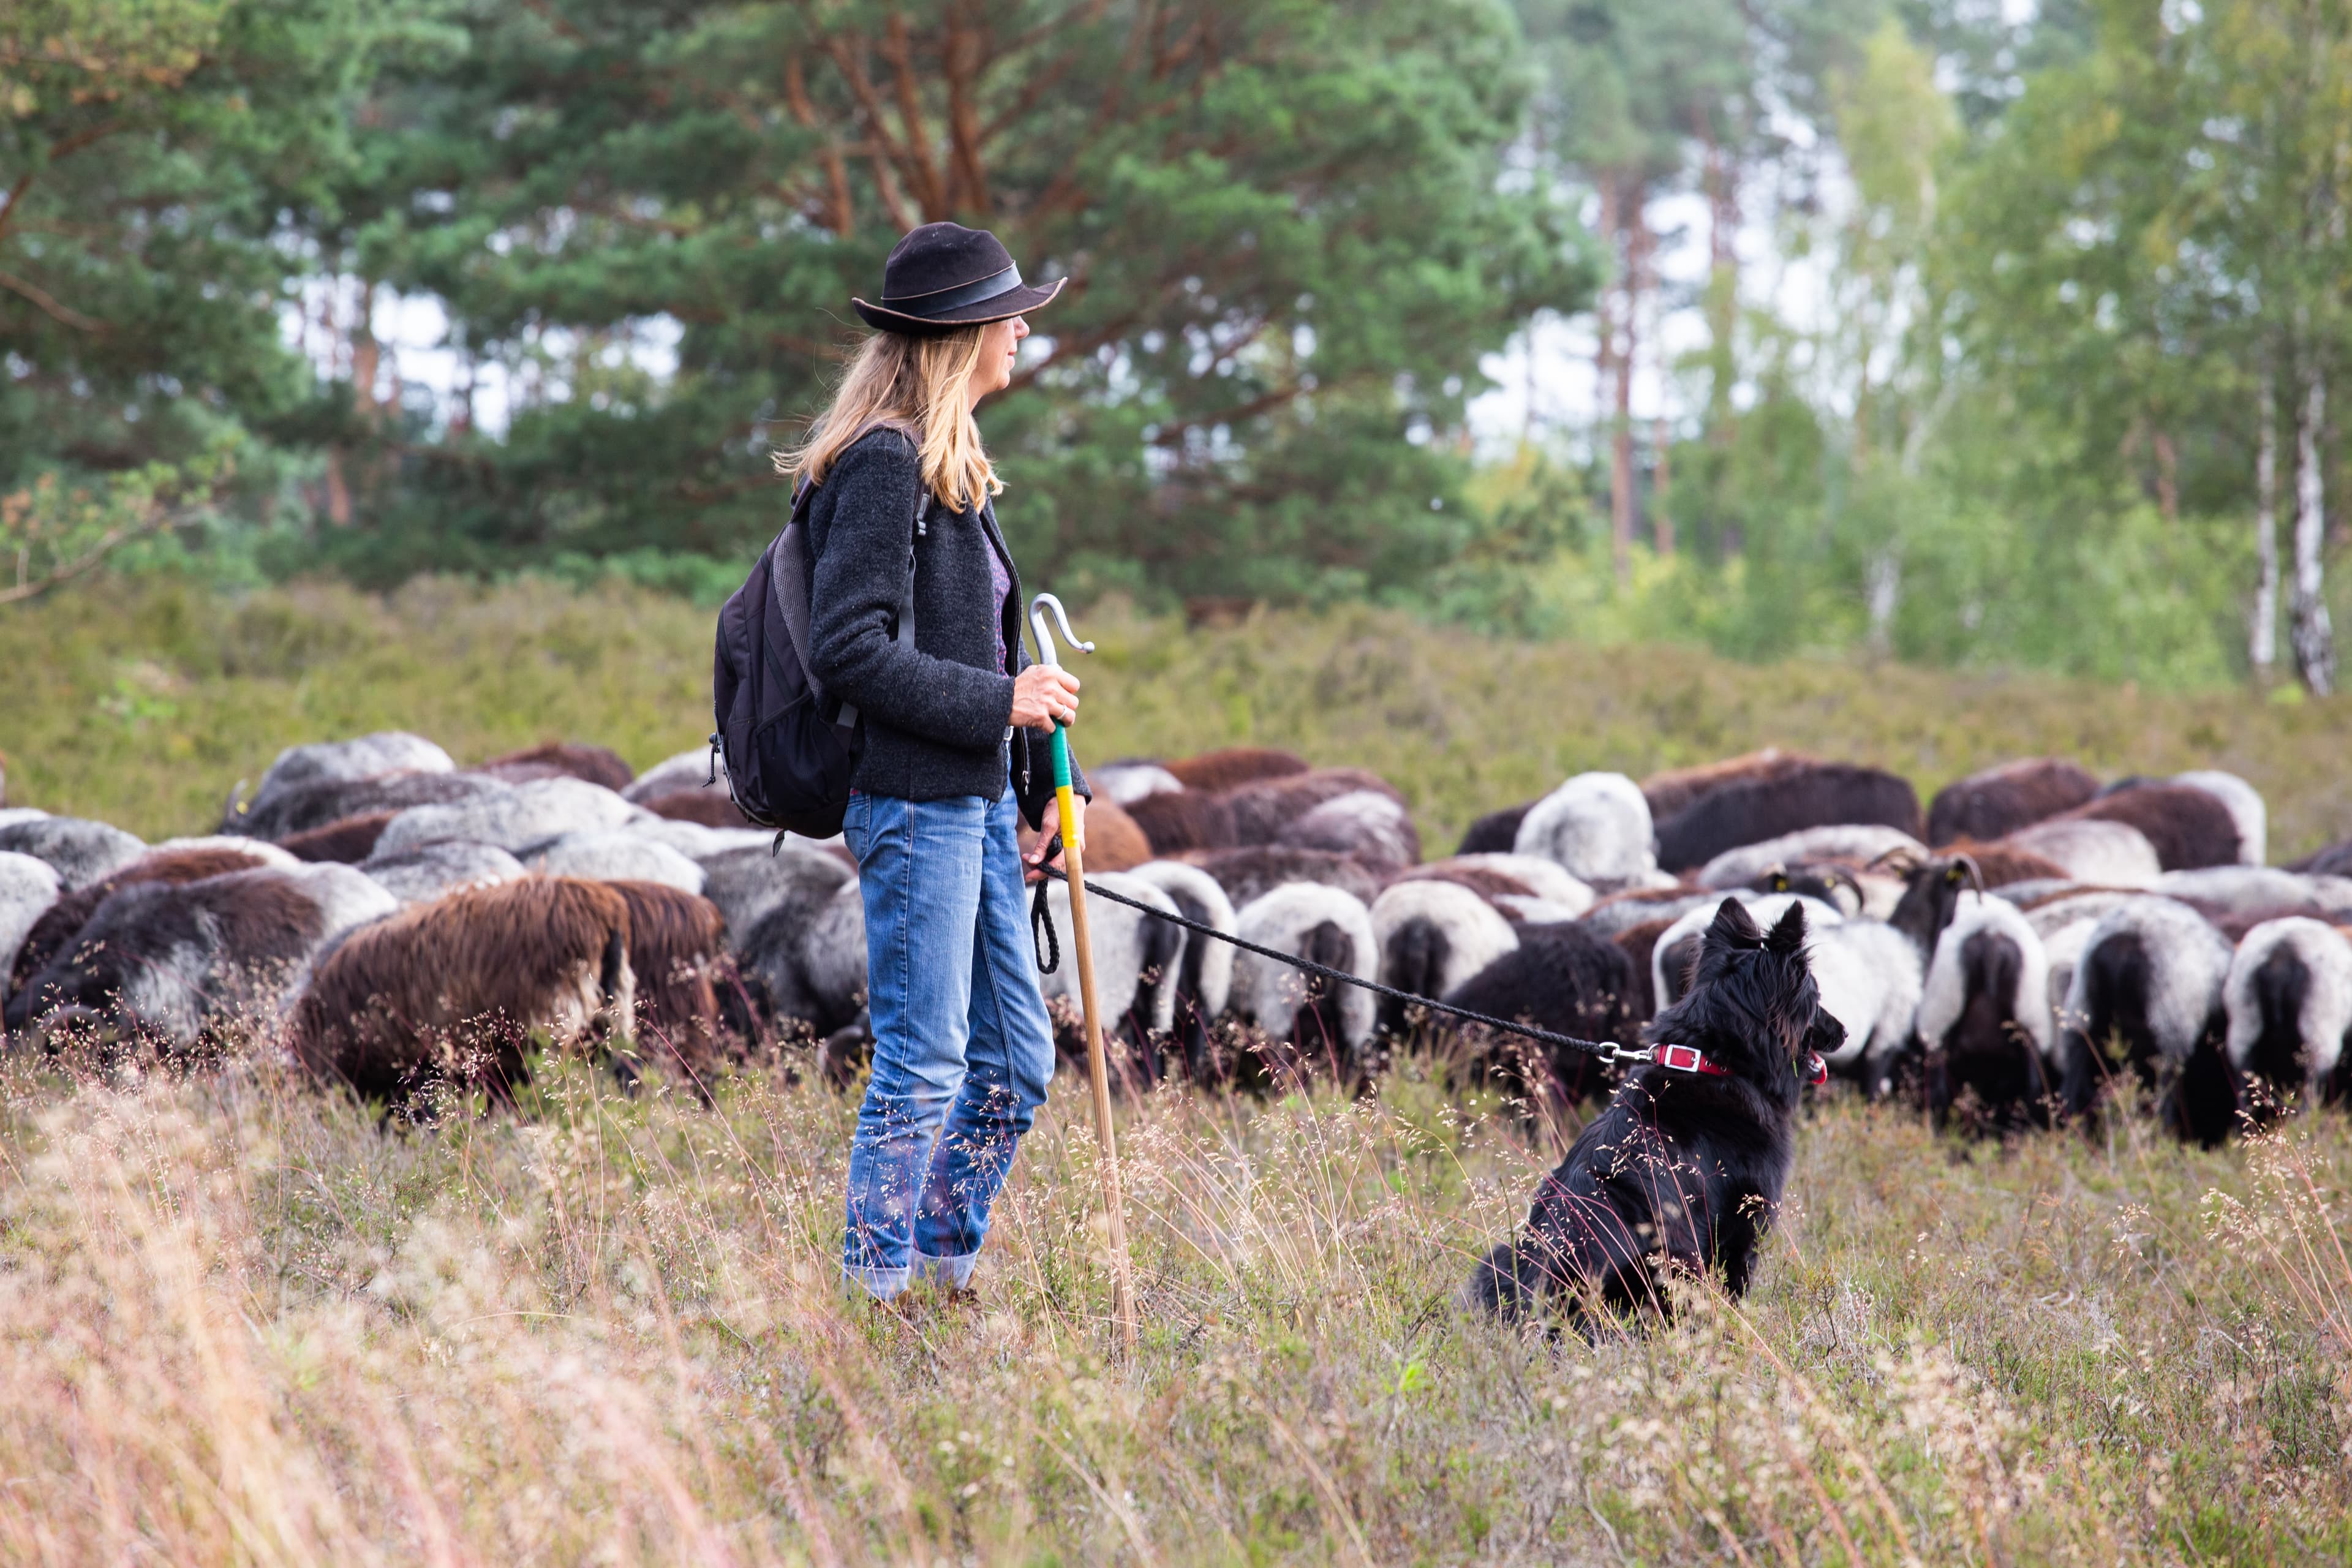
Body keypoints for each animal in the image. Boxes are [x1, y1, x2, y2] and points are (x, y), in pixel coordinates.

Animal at [1468, 902, 1834, 1335]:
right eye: (1816, 999)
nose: (1844, 1032)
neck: (1714, 1062)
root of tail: (1538, 1303)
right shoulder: (1743, 1223)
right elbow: (1737, 1286)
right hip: (1669, 1263)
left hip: (1496, 1260)